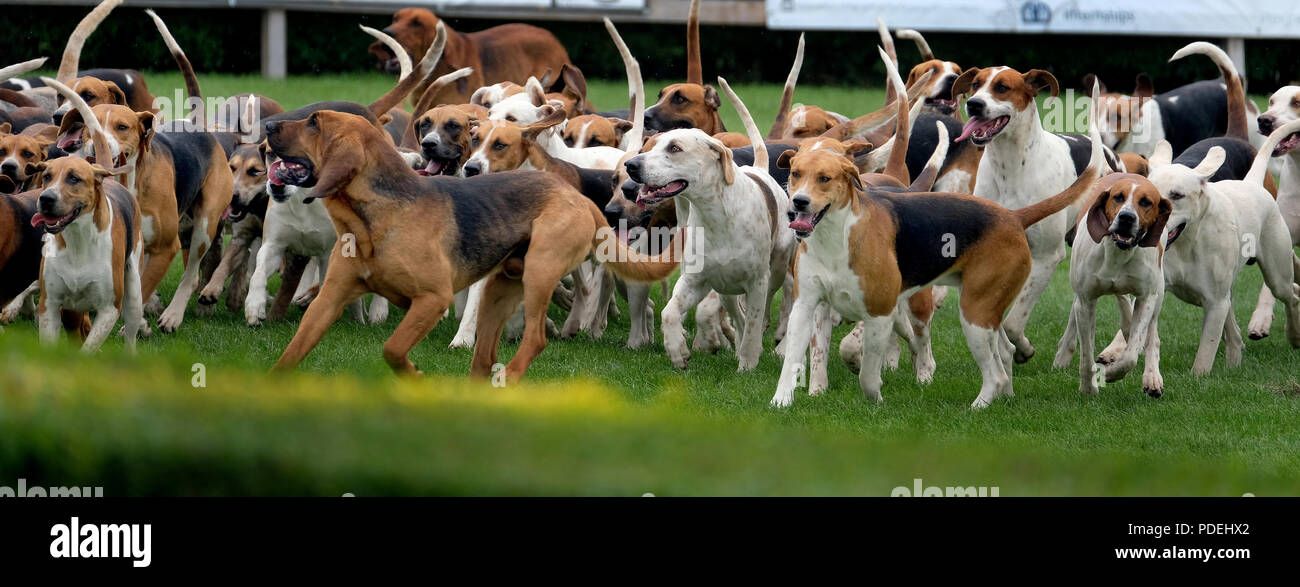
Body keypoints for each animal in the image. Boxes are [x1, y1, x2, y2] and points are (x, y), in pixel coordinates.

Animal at [258, 111, 676, 381]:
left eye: (314, 123)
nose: (267, 126)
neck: (372, 219)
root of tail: (582, 199)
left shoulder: (432, 299)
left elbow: (393, 348)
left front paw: (413, 375)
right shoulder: (329, 299)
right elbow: (292, 351)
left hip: (539, 274)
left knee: (535, 338)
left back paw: (510, 377)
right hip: (499, 290)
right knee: (484, 355)